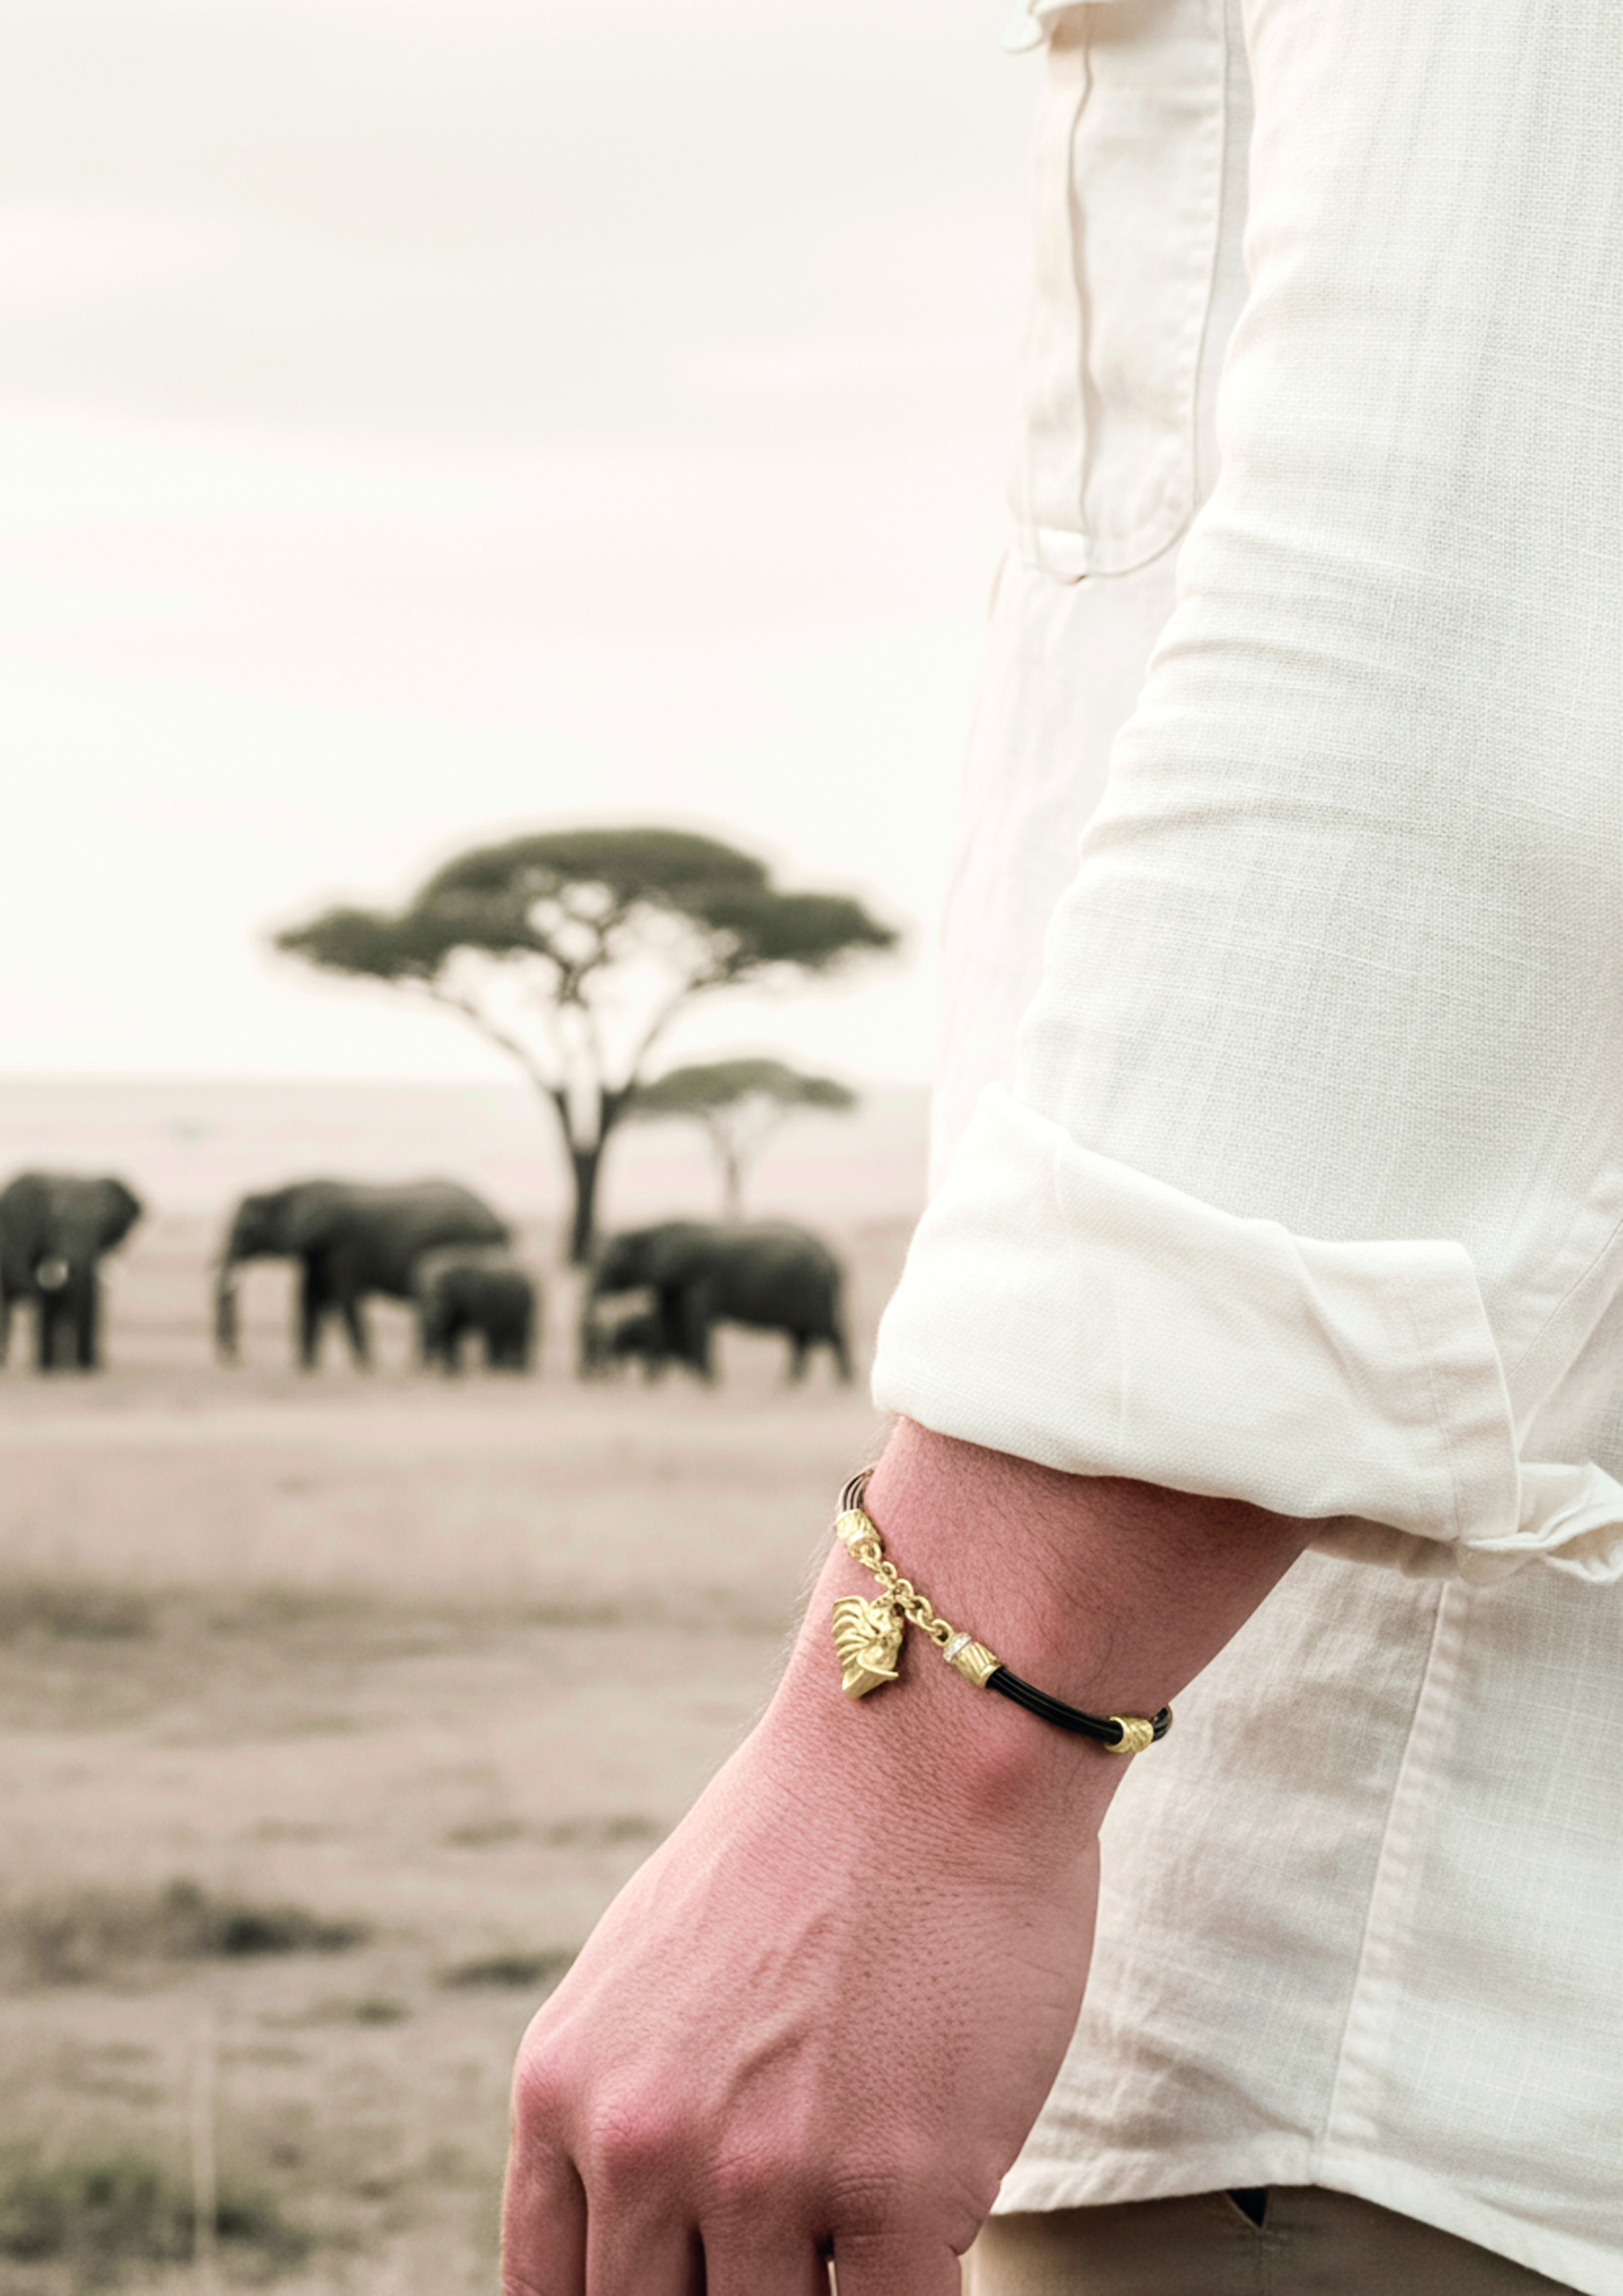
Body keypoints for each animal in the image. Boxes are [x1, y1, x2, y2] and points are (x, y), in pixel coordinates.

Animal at [215, 1178, 508, 1368]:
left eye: (246, 1231)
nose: (233, 1355)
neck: (288, 1189)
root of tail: (499, 1220)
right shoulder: (318, 1251)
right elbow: (309, 1298)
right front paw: (305, 1369)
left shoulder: (342, 1248)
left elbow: (344, 1299)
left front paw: (365, 1366)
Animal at [413, 1246, 537, 1373]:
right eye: (422, 1297)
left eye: (443, 1295)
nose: (437, 1314)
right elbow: (452, 1341)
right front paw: (451, 1370)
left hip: (520, 1319)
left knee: (520, 1339)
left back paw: (517, 1367)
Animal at [588, 1220, 851, 1384]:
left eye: (611, 1264)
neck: (649, 1230)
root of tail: (832, 1258)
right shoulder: (670, 1283)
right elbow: (669, 1319)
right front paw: (681, 1380)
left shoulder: (697, 1276)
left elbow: (694, 1318)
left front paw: (704, 1381)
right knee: (801, 1338)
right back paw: (790, 1383)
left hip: (814, 1290)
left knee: (828, 1332)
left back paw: (842, 1382)